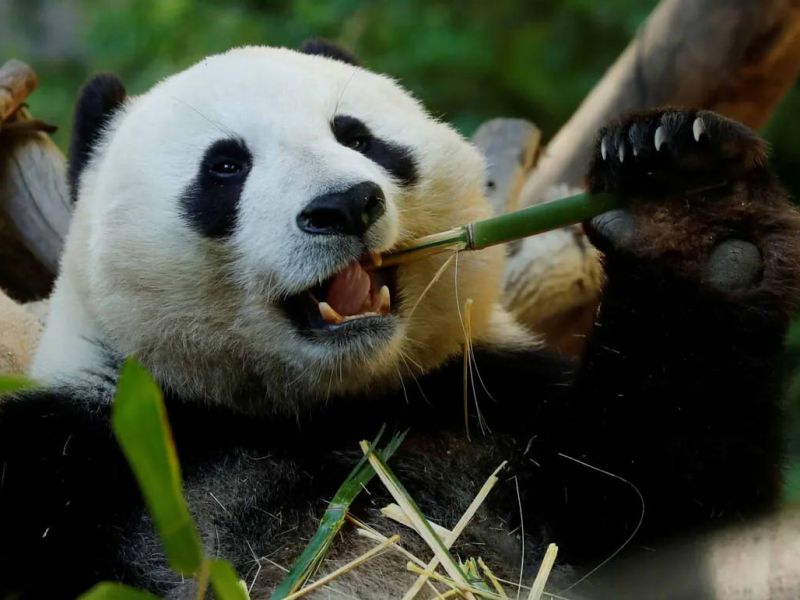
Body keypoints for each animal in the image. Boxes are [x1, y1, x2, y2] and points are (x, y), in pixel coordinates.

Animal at [1, 40, 799, 599]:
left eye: (357, 136)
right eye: (225, 166)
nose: (345, 204)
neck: (323, 408)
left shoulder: (489, 401)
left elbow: (665, 496)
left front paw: (692, 215)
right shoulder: (88, 453)